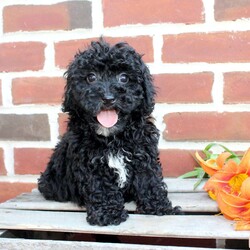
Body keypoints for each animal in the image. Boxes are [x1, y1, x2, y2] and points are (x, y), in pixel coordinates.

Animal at [38, 39, 181, 227]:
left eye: (124, 77)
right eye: (91, 77)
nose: (108, 98)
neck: (113, 138)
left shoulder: (143, 153)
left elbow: (149, 179)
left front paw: (159, 206)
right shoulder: (90, 163)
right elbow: (101, 187)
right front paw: (108, 214)